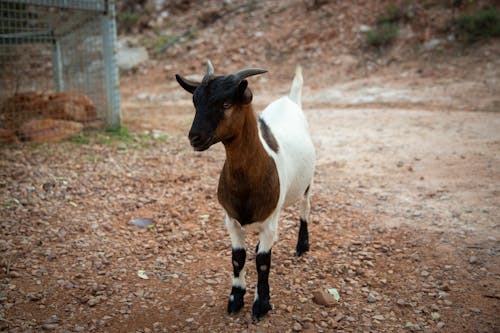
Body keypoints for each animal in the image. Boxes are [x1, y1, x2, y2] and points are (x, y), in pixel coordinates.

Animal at [177, 61, 316, 318]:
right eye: (195, 102)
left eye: (226, 104)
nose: (195, 137)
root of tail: (290, 100)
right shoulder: (230, 220)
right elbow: (237, 258)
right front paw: (236, 298)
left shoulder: (270, 222)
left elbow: (262, 261)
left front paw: (261, 305)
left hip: (308, 182)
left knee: (305, 208)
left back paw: (302, 246)